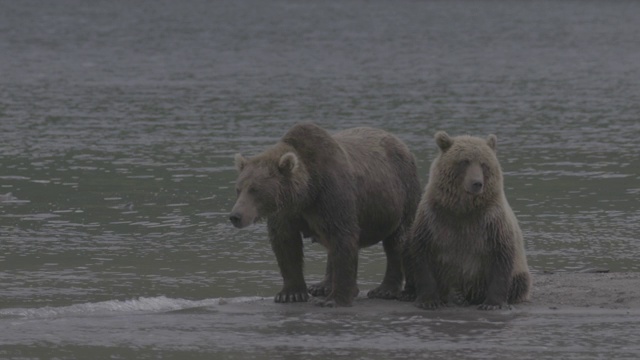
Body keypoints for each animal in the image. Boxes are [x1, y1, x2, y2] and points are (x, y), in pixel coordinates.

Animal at [229, 123, 420, 306]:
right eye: (238, 189)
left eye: (255, 190)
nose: (235, 216)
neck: (306, 193)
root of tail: (400, 142)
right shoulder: (287, 212)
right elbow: (286, 244)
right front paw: (290, 294)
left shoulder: (331, 195)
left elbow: (343, 236)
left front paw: (335, 299)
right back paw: (322, 286)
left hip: (403, 197)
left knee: (397, 242)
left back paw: (386, 290)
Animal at [404, 131, 528, 310]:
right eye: (464, 161)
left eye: (483, 164)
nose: (477, 183)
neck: (463, 209)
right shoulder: (434, 219)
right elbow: (422, 253)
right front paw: (429, 301)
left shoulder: (492, 222)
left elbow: (501, 255)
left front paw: (492, 303)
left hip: (519, 271)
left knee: (519, 283)